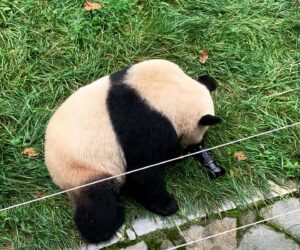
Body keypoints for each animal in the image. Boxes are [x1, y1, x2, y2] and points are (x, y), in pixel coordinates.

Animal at [45, 59, 220, 243]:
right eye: (201, 135)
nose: (197, 146)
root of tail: (54, 173)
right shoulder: (146, 124)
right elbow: (143, 173)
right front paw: (167, 205)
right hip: (85, 169)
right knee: (98, 202)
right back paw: (112, 221)